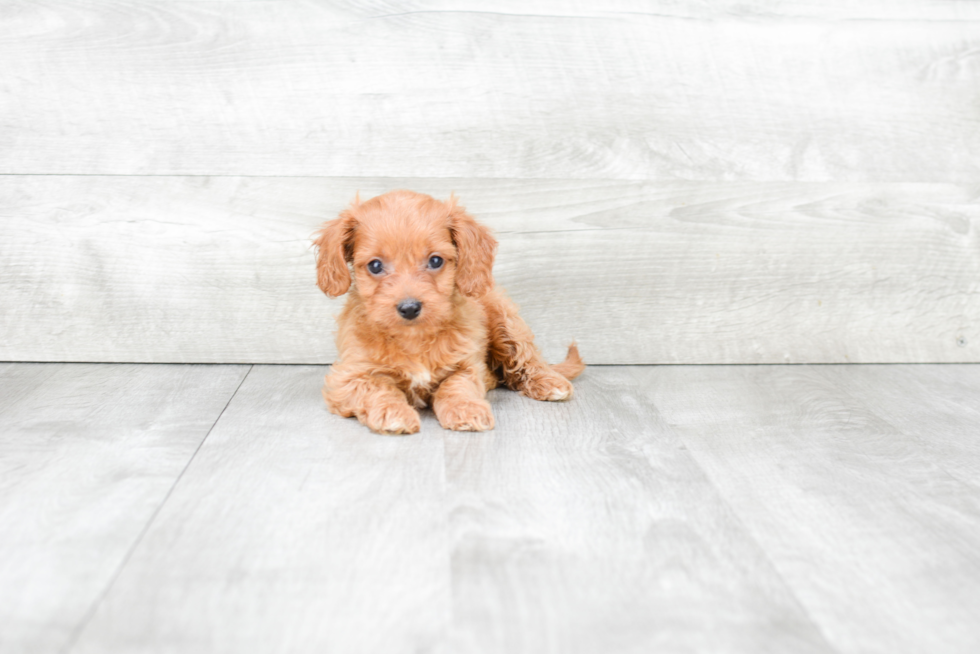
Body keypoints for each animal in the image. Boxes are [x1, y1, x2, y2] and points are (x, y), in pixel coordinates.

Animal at [316, 190, 580, 436]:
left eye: (435, 261)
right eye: (375, 265)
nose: (409, 308)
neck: (414, 338)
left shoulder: (467, 366)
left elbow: (455, 386)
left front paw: (465, 409)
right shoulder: (347, 378)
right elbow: (377, 387)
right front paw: (393, 412)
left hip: (506, 320)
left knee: (526, 358)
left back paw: (549, 381)